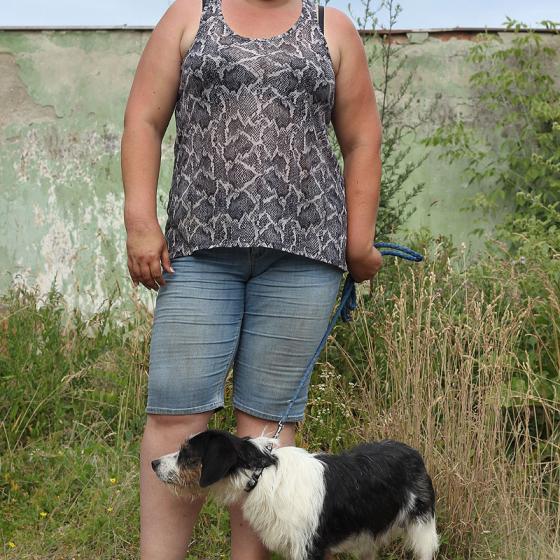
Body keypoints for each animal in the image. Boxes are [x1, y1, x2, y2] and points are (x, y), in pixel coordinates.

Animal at [152, 429, 439, 560]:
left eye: (187, 454)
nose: (153, 463)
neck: (261, 473)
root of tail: (414, 453)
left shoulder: (308, 548)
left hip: (423, 531)